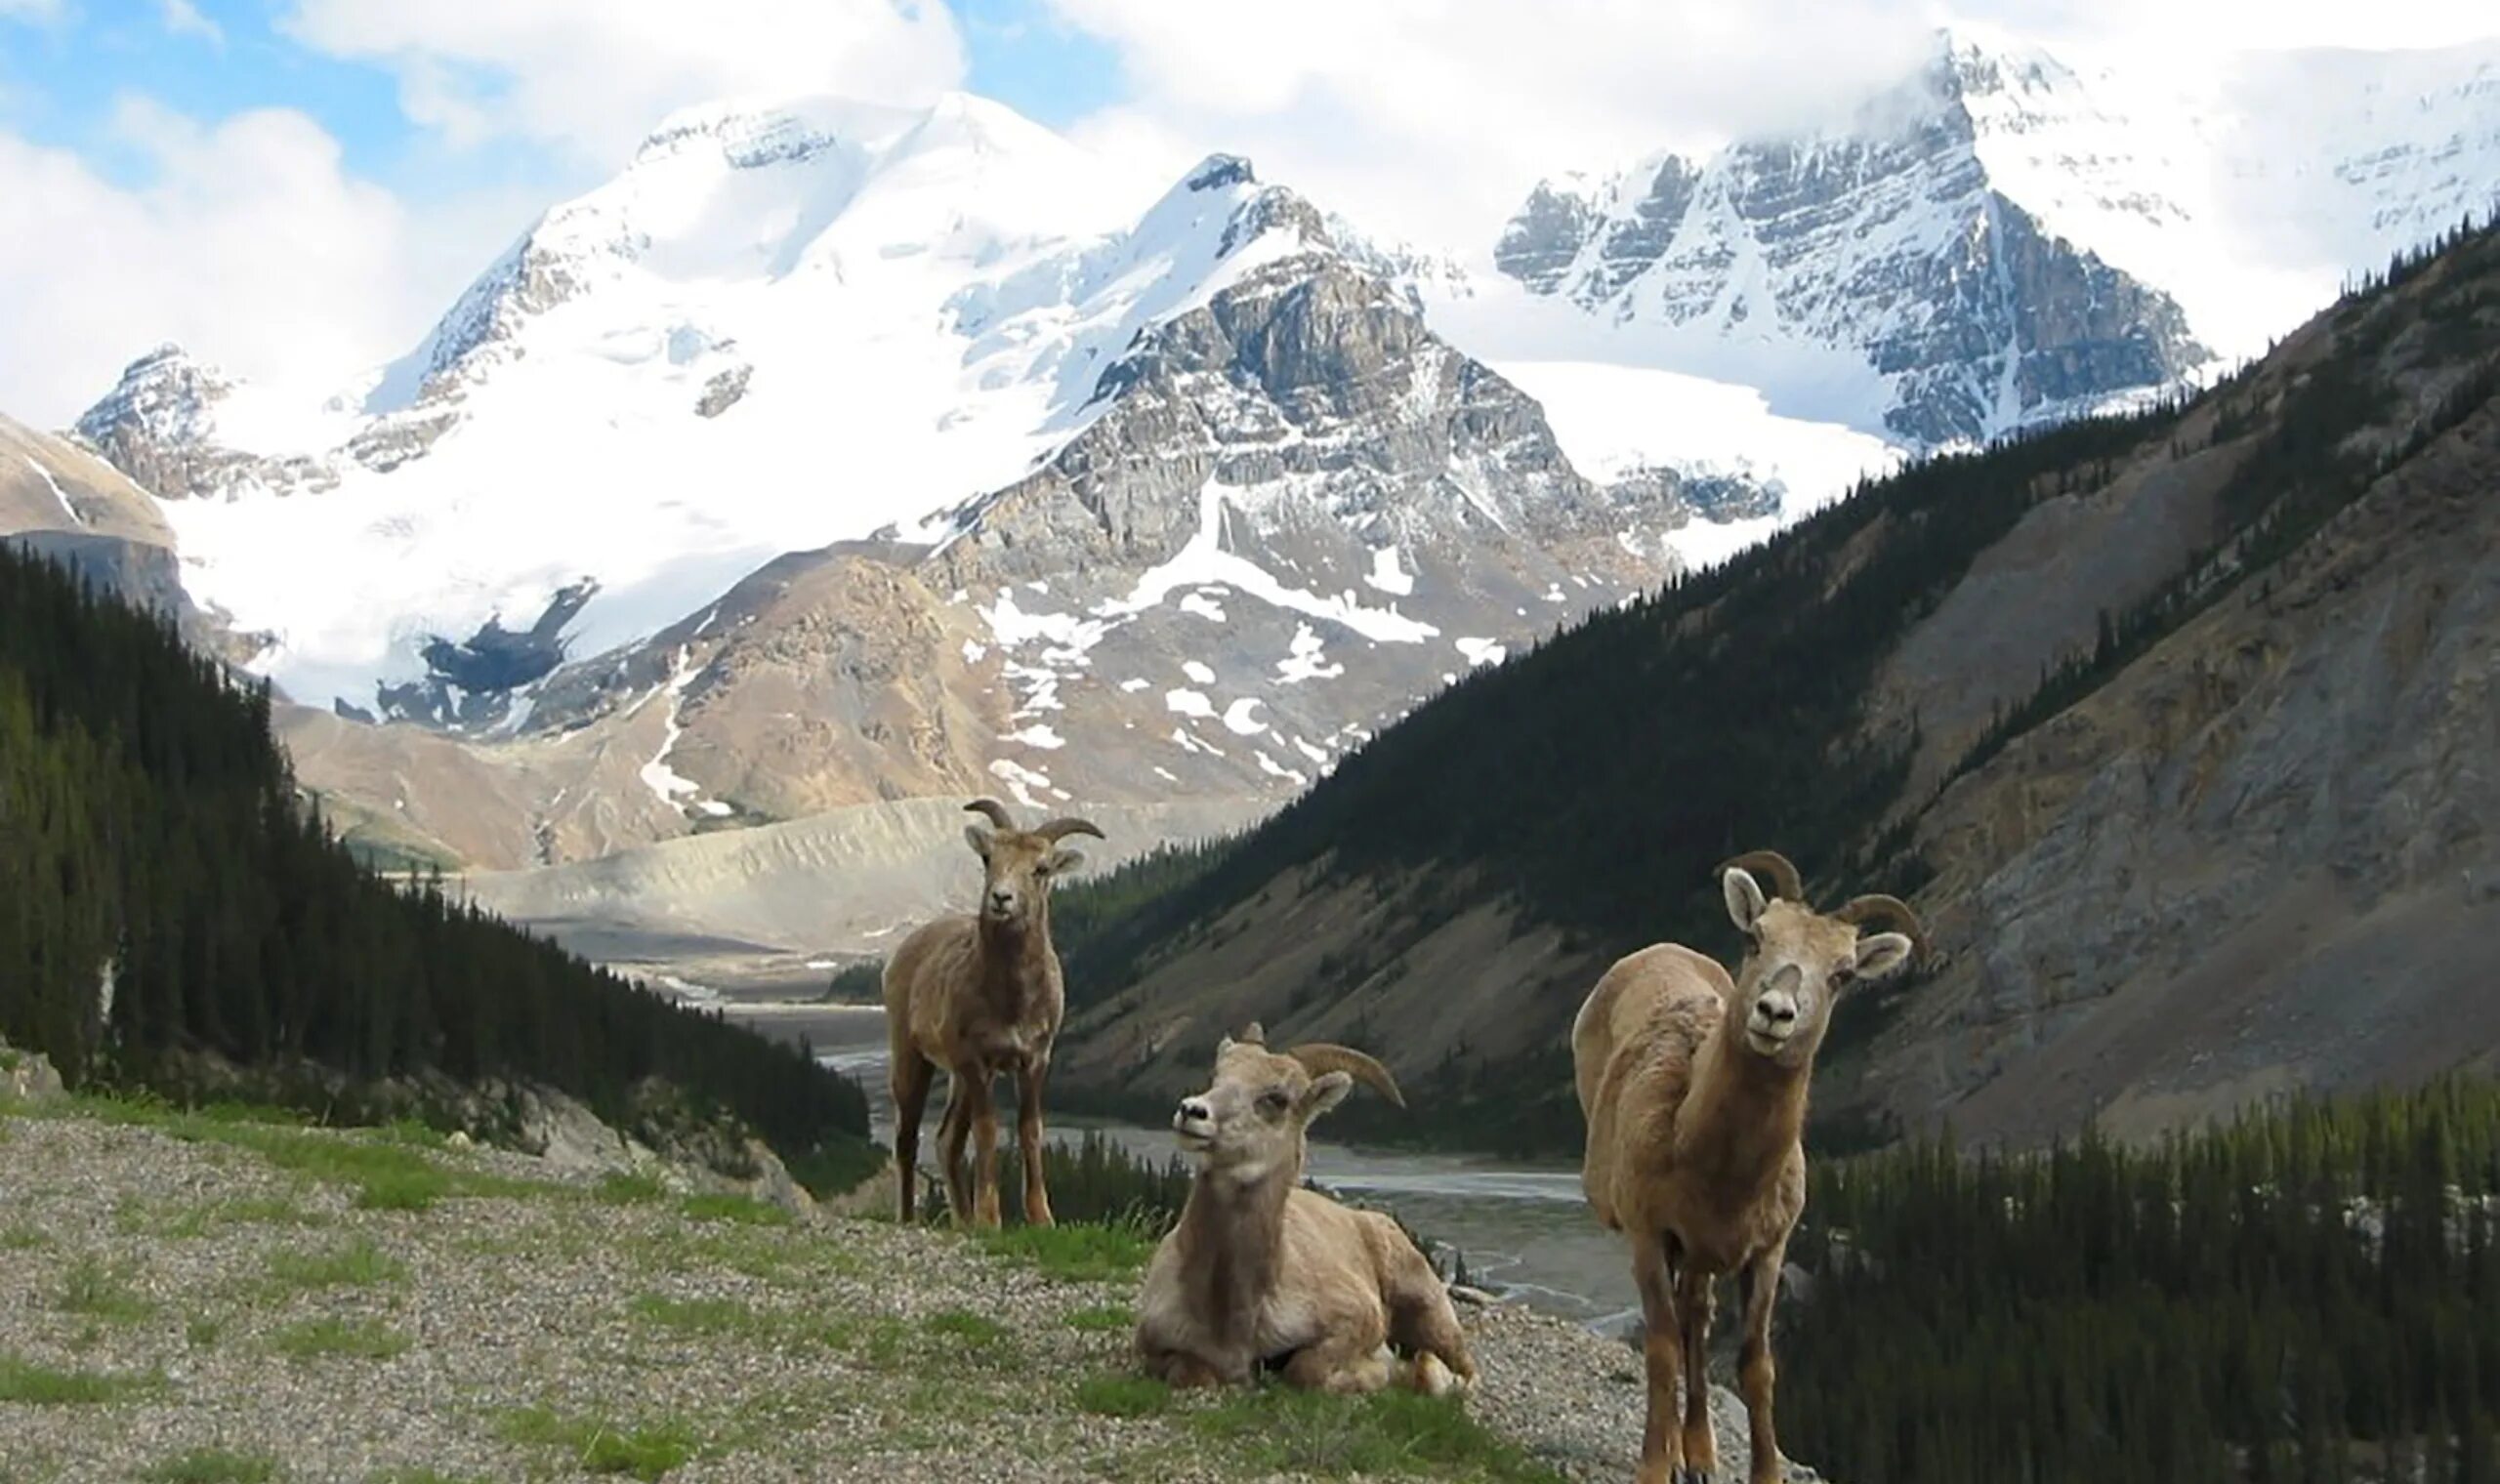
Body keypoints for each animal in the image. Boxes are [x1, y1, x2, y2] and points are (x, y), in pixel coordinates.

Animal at [890, 799, 1104, 1223]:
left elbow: (1030, 1130)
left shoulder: (1034, 1060)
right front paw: (991, 1220)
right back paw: (909, 1218)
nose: (1001, 899)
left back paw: (963, 1222)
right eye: (989, 857)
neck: (1011, 1003)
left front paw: (1041, 1219)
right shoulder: (977, 1062)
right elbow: (987, 1131)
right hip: (912, 1059)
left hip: (956, 1079)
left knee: (947, 1142)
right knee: (908, 1139)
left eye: (1040, 868)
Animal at [1130, 1024, 1470, 1388]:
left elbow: (1304, 1370)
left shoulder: (1359, 1319)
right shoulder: (1155, 1348)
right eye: (1216, 1076)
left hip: (1430, 1313)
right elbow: (1189, 1373)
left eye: (1277, 1098)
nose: (1192, 1111)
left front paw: (1381, 1372)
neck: (1229, 1320)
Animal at [1569, 849, 1920, 1478]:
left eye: (1842, 973)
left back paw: (1700, 1455)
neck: (1717, 1171)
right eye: (1757, 937)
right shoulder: (1650, 1236)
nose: (1775, 1012)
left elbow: (1756, 1365)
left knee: (1698, 1320)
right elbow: (1660, 1349)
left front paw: (1762, 1473)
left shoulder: (1767, 1253)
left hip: (1703, 1261)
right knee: (1680, 1329)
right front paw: (1654, 1468)